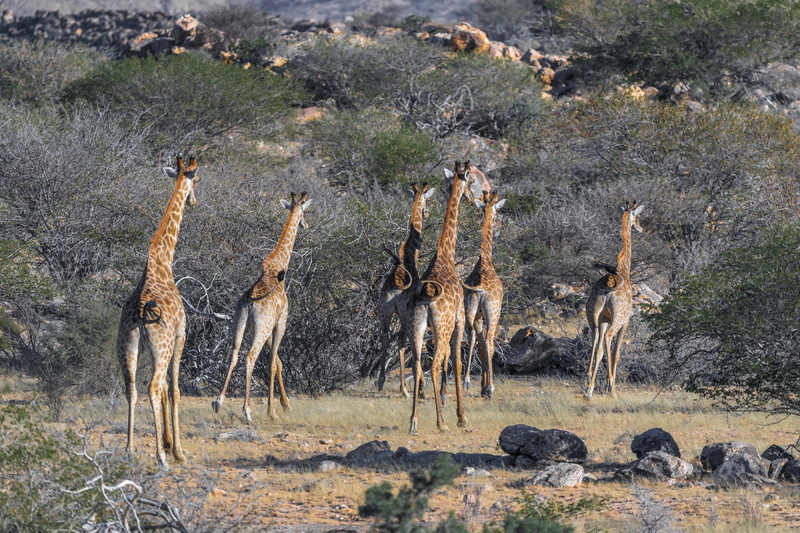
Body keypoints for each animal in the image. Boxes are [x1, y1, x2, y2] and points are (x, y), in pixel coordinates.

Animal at [117, 155, 200, 468]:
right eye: (197, 180)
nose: (193, 200)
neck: (163, 258)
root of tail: (141, 313)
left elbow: (165, 389)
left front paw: (167, 442)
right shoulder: (180, 337)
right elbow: (174, 390)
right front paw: (177, 450)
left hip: (126, 345)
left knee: (131, 388)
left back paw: (129, 450)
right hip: (162, 344)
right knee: (153, 387)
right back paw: (161, 457)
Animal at [212, 192, 311, 422]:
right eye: (305, 211)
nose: (306, 224)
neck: (278, 269)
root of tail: (249, 304)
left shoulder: (268, 327)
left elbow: (278, 363)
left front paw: (285, 404)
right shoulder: (280, 323)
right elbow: (273, 362)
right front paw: (273, 410)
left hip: (240, 325)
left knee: (234, 354)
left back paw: (218, 402)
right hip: (262, 328)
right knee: (250, 357)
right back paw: (247, 411)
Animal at [376, 183, 436, 397]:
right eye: (428, 199)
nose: (427, 212)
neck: (410, 254)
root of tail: (394, 289)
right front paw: (420, 388)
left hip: (384, 310)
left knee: (386, 338)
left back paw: (381, 381)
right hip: (402, 312)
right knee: (403, 341)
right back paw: (407, 388)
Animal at [585, 201, 644, 399]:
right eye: (637, 216)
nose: (640, 227)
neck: (624, 268)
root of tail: (607, 288)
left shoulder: (604, 318)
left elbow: (602, 350)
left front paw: (598, 385)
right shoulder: (626, 320)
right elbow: (616, 352)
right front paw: (609, 385)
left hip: (593, 315)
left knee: (596, 339)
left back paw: (588, 385)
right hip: (618, 318)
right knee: (608, 338)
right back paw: (611, 390)